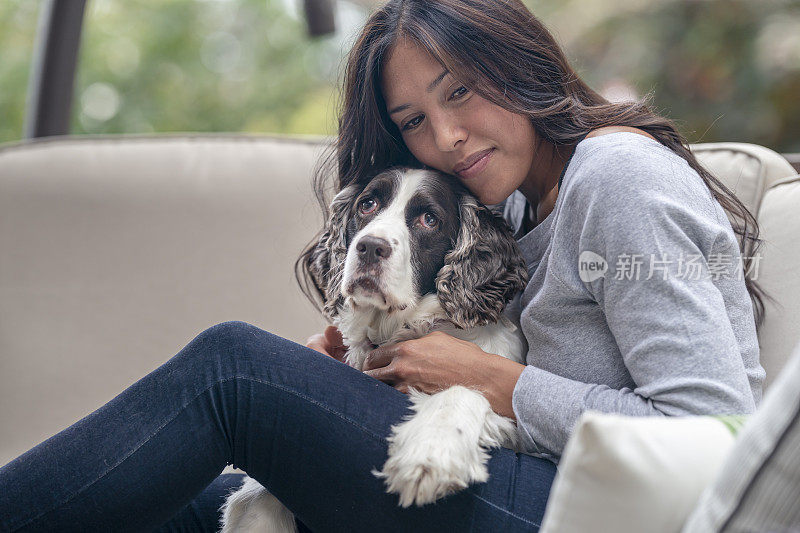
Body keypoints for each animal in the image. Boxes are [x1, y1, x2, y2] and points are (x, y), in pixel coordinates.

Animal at [222, 168, 528, 528]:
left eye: (429, 219)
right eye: (367, 204)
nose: (369, 247)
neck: (396, 328)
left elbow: (464, 389)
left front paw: (431, 455)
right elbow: (253, 496)